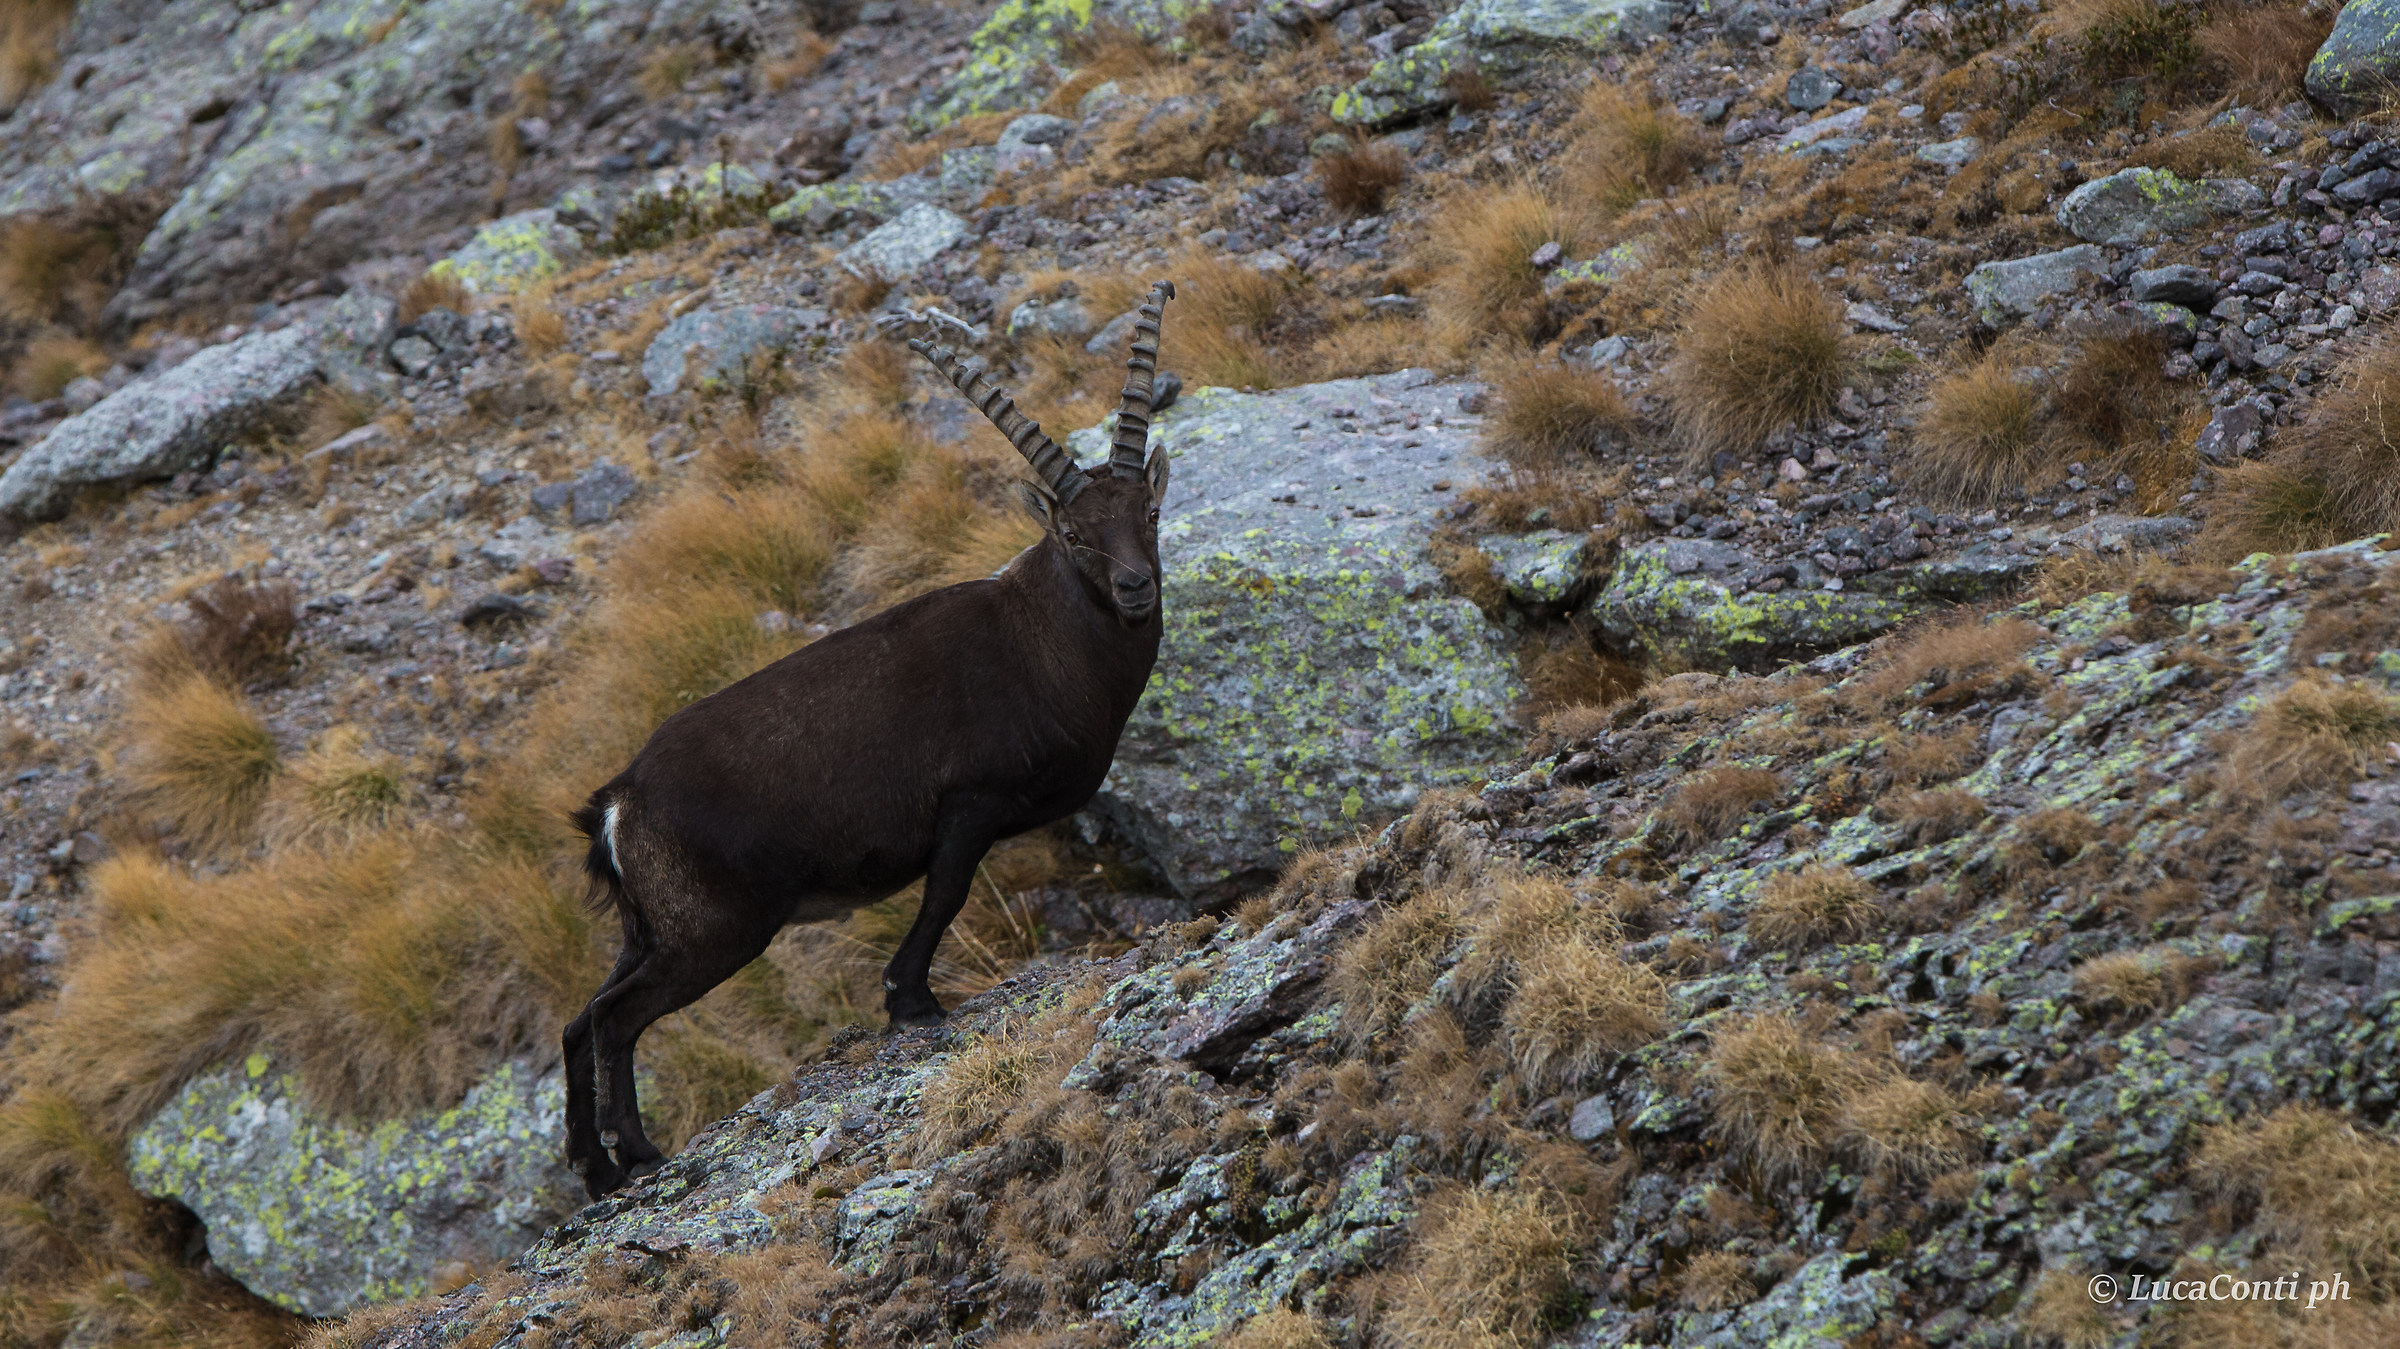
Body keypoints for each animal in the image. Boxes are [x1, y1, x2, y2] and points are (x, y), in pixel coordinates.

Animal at [559, 281, 1178, 1197]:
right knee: (613, 1017)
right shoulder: (967, 804)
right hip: (716, 929)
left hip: (652, 928)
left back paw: (596, 1167)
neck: (1043, 640)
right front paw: (911, 1001)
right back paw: (636, 1153)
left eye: (1150, 511)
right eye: (1073, 534)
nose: (1136, 587)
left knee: (581, 1020)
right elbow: (945, 895)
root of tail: (617, 803)